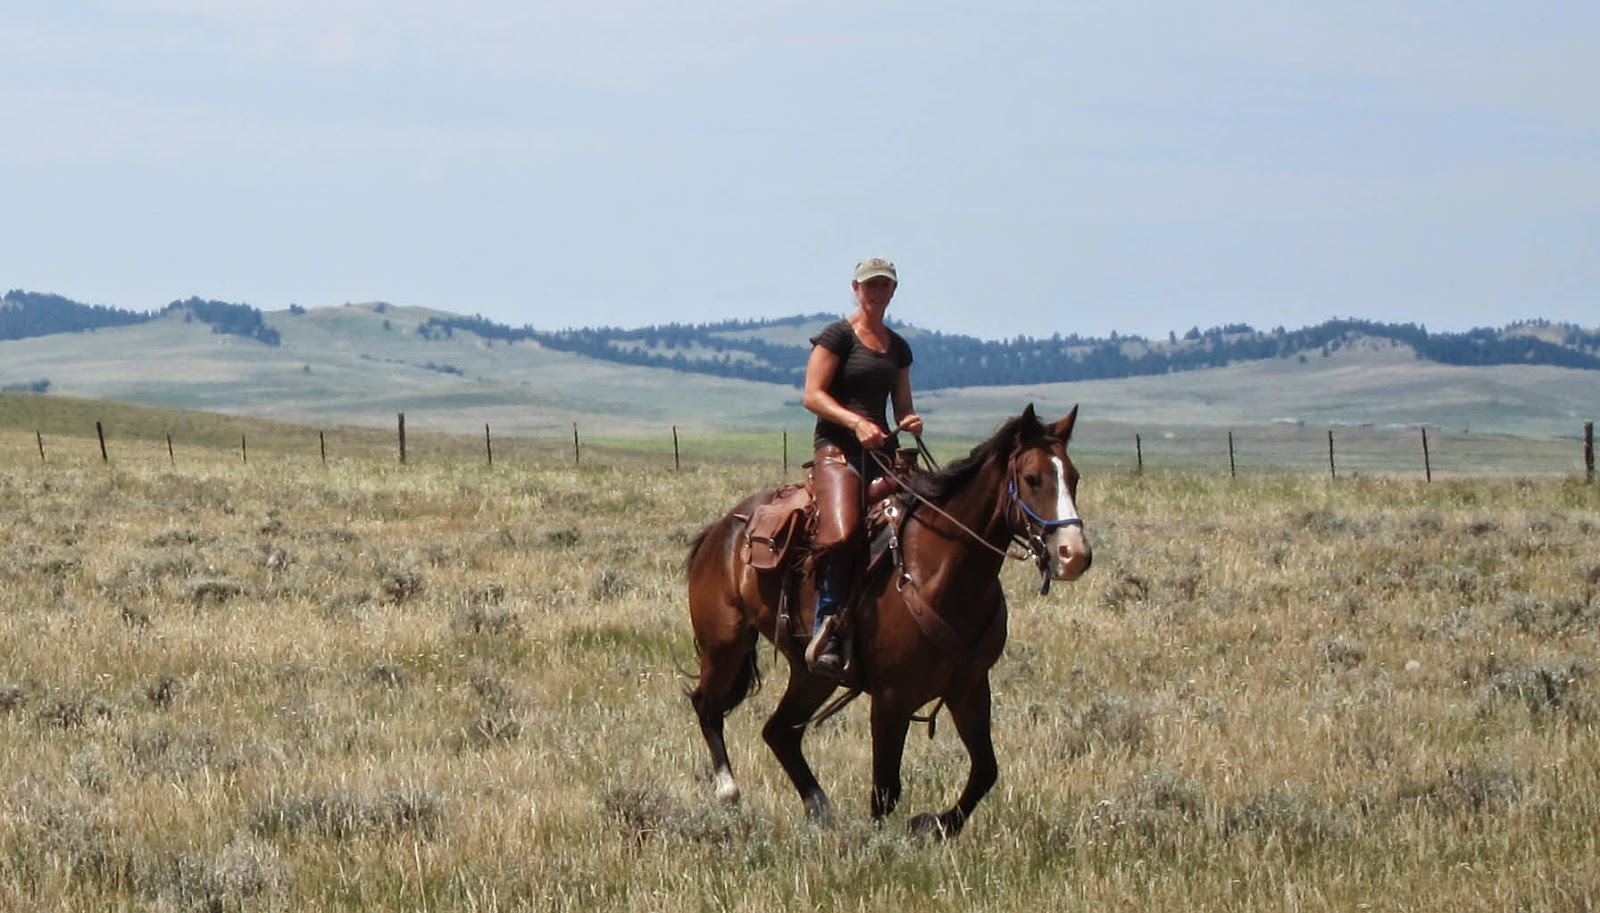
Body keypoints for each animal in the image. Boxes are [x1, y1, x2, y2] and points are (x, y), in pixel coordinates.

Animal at [684, 404, 1092, 838]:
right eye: (1033, 479)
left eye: (1074, 477)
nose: (1074, 555)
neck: (941, 570)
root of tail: (722, 529)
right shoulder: (891, 697)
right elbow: (885, 789)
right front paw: (885, 843)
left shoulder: (969, 687)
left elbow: (985, 771)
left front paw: (932, 824)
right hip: (724, 643)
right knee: (708, 705)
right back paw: (728, 791)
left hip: (812, 672)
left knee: (779, 731)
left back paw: (820, 809)